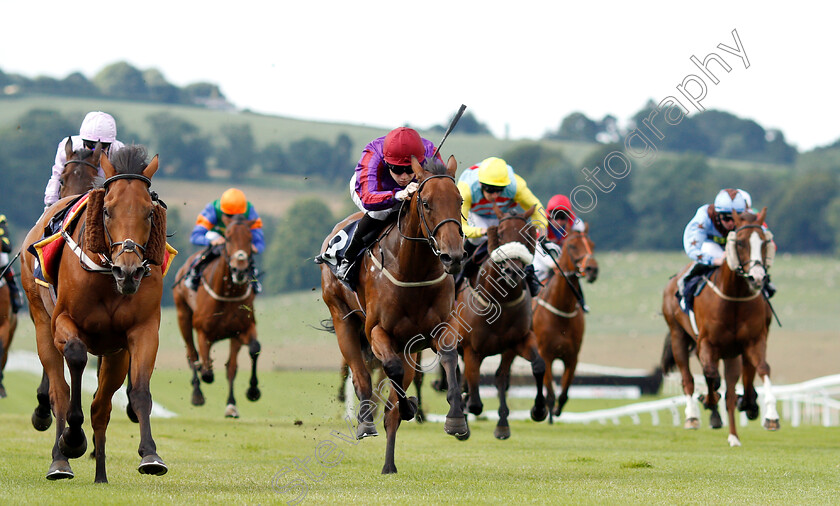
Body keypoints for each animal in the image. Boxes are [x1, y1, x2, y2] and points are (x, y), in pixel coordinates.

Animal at [172, 215, 260, 418]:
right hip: (183, 315)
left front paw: (247, 394)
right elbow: (205, 370)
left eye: (250, 239)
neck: (228, 293)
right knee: (192, 355)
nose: (240, 270)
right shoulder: (203, 332)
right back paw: (197, 394)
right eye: (227, 237)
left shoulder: (241, 329)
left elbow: (246, 355)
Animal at [320, 155, 470, 474]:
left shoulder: (436, 330)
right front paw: (410, 406)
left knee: (391, 405)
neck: (413, 269)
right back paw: (366, 422)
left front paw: (456, 419)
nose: (453, 256)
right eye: (426, 202)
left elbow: (449, 358)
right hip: (342, 319)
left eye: (459, 200)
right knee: (360, 375)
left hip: (407, 348)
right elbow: (391, 369)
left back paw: (389, 464)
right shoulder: (377, 330)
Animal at [450, 205, 548, 438]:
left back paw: (502, 424)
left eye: (527, 234)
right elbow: (474, 396)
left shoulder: (519, 341)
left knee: (499, 377)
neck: (501, 301)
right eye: (501, 234)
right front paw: (466, 410)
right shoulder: (472, 349)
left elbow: (538, 366)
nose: (513, 270)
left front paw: (539, 409)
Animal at [532, 223, 596, 422]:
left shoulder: (572, 357)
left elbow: (564, 393)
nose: (592, 269)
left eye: (592, 244)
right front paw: (545, 412)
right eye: (573, 246)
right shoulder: (545, 355)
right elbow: (550, 393)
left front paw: (556, 411)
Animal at [660, 207, 776, 446]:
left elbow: (761, 369)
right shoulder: (707, 343)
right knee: (689, 378)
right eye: (740, 242)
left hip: (730, 352)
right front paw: (708, 401)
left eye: (764, 241)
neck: (734, 297)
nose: (757, 278)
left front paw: (768, 414)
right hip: (678, 336)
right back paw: (693, 415)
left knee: (734, 382)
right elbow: (711, 375)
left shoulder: (753, 340)